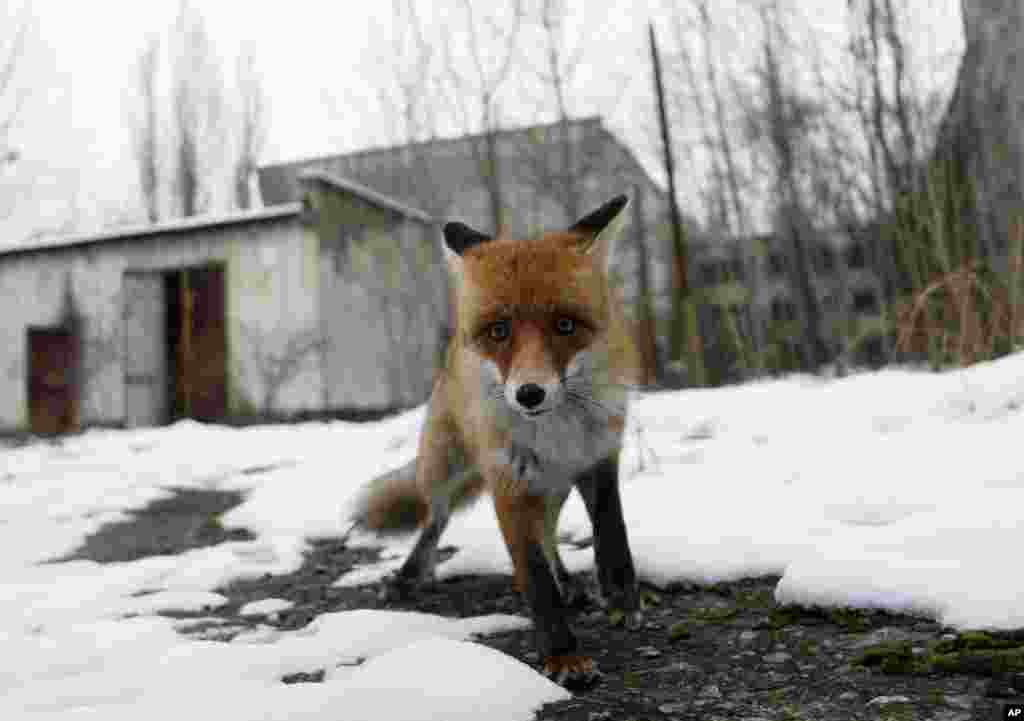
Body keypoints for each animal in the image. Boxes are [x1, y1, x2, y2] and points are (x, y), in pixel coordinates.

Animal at [354, 196, 638, 688]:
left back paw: (572, 585)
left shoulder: (599, 457)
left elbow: (611, 528)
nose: (529, 394)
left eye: (566, 325)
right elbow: (535, 579)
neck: (557, 436)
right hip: (445, 470)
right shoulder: (507, 484)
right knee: (434, 521)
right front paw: (562, 655)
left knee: (548, 532)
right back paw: (407, 577)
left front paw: (622, 594)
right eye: (499, 330)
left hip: (553, 489)